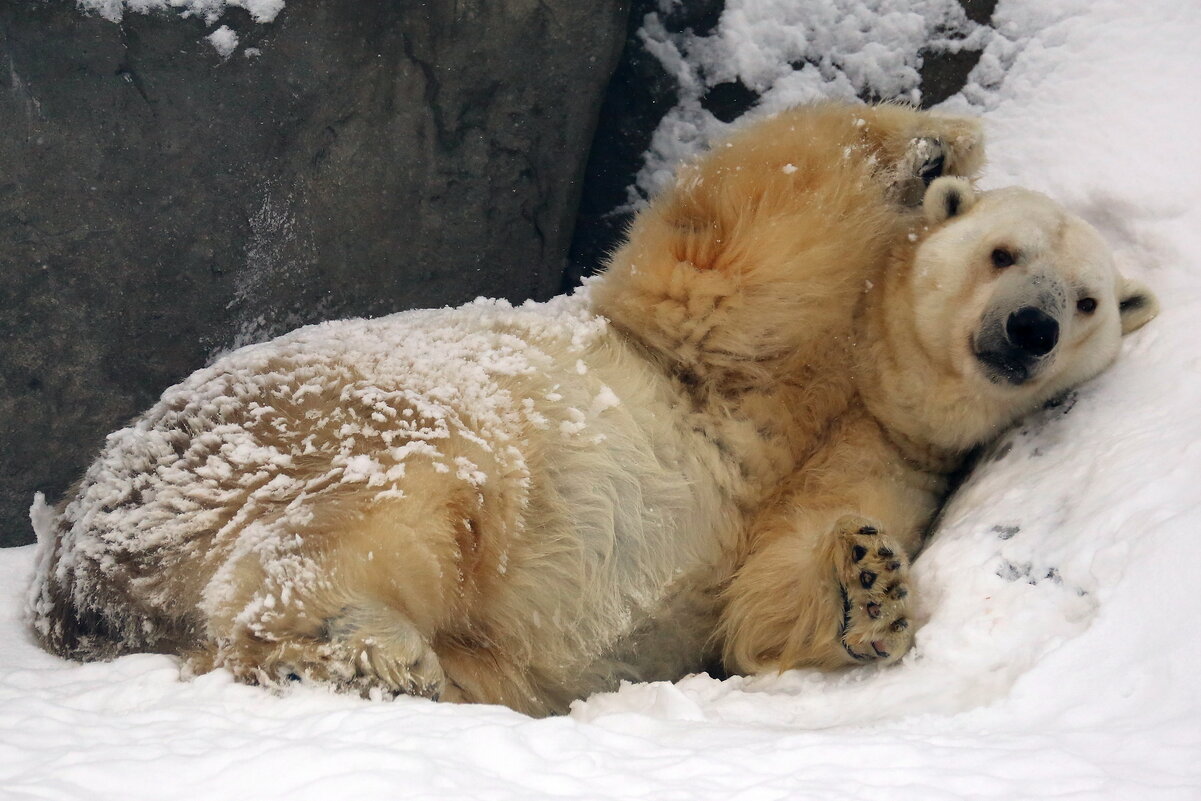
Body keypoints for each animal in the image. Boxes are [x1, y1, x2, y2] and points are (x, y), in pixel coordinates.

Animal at [28, 105, 1152, 715]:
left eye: (1087, 299)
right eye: (1005, 252)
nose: (1027, 329)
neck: (839, 380)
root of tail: (74, 560)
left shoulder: (879, 450)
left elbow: (771, 592)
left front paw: (868, 584)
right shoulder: (708, 336)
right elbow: (751, 213)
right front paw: (934, 142)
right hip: (307, 424)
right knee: (409, 498)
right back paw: (361, 644)